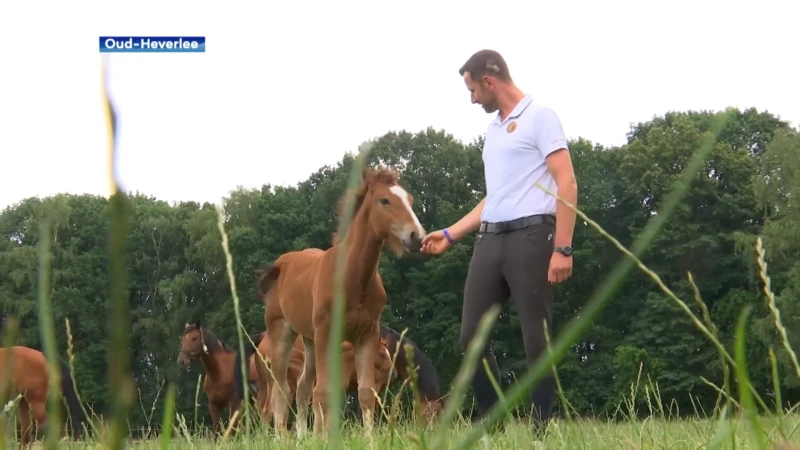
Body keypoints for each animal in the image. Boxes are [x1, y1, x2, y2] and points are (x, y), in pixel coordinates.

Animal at [260, 167, 428, 438]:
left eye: (410, 200)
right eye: (384, 200)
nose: (417, 237)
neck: (354, 278)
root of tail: (281, 265)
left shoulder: (367, 334)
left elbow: (365, 393)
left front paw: (368, 440)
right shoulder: (327, 334)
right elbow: (324, 393)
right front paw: (325, 439)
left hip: (308, 340)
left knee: (302, 387)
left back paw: (301, 437)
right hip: (282, 333)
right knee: (281, 389)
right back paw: (281, 438)